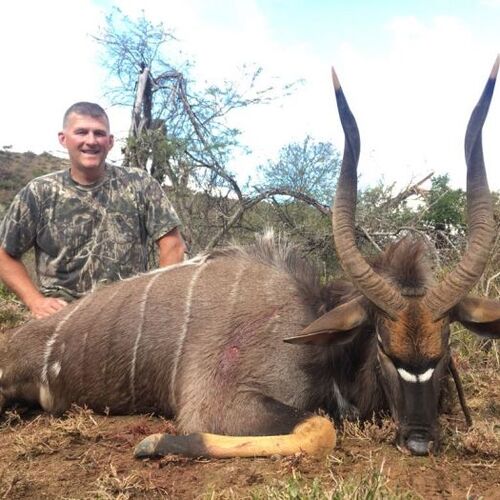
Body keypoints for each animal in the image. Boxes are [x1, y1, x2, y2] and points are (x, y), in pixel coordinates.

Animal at [0, 58, 499, 458]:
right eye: (382, 344)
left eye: (446, 344)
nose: (419, 441)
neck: (310, 326)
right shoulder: (218, 402)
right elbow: (320, 429)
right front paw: (153, 444)